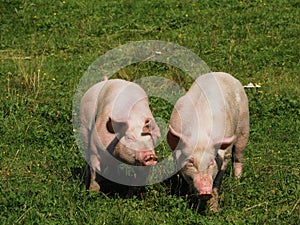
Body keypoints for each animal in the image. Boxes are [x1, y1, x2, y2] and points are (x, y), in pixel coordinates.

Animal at [166, 72, 248, 211]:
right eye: (191, 162)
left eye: (211, 162)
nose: (205, 191)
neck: (201, 137)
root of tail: (222, 74)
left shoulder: (224, 155)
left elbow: (217, 181)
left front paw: (214, 211)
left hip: (244, 123)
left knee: (238, 156)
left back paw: (237, 182)